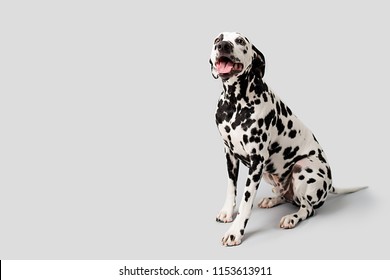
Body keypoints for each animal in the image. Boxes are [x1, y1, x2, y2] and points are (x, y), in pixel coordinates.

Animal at [209, 31, 368, 246]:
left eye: (240, 41)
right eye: (217, 39)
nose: (223, 45)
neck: (234, 104)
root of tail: (329, 185)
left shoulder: (256, 162)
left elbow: (246, 201)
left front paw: (235, 232)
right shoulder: (230, 154)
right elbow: (231, 187)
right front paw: (227, 212)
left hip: (303, 168)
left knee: (307, 208)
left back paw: (292, 218)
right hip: (271, 173)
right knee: (286, 196)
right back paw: (272, 200)